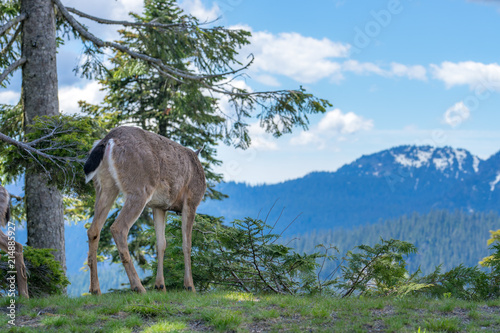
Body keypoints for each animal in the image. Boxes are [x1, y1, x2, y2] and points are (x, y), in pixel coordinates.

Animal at [85, 125, 206, 294]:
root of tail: (109, 139)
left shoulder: (159, 206)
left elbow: (161, 244)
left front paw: (160, 286)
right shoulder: (191, 200)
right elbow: (186, 244)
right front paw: (190, 286)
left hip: (104, 186)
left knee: (93, 230)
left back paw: (96, 290)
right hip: (139, 188)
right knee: (118, 228)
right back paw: (138, 287)